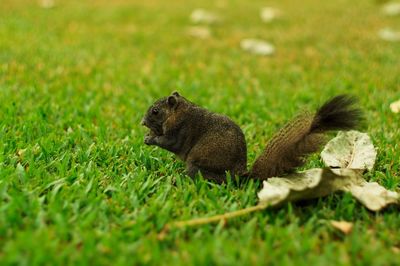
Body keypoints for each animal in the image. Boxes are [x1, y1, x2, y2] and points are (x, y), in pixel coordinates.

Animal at [142, 91, 364, 183]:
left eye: (155, 111)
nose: (142, 122)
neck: (180, 111)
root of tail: (239, 174)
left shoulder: (178, 130)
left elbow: (168, 142)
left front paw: (149, 138)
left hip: (198, 163)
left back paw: (177, 179)